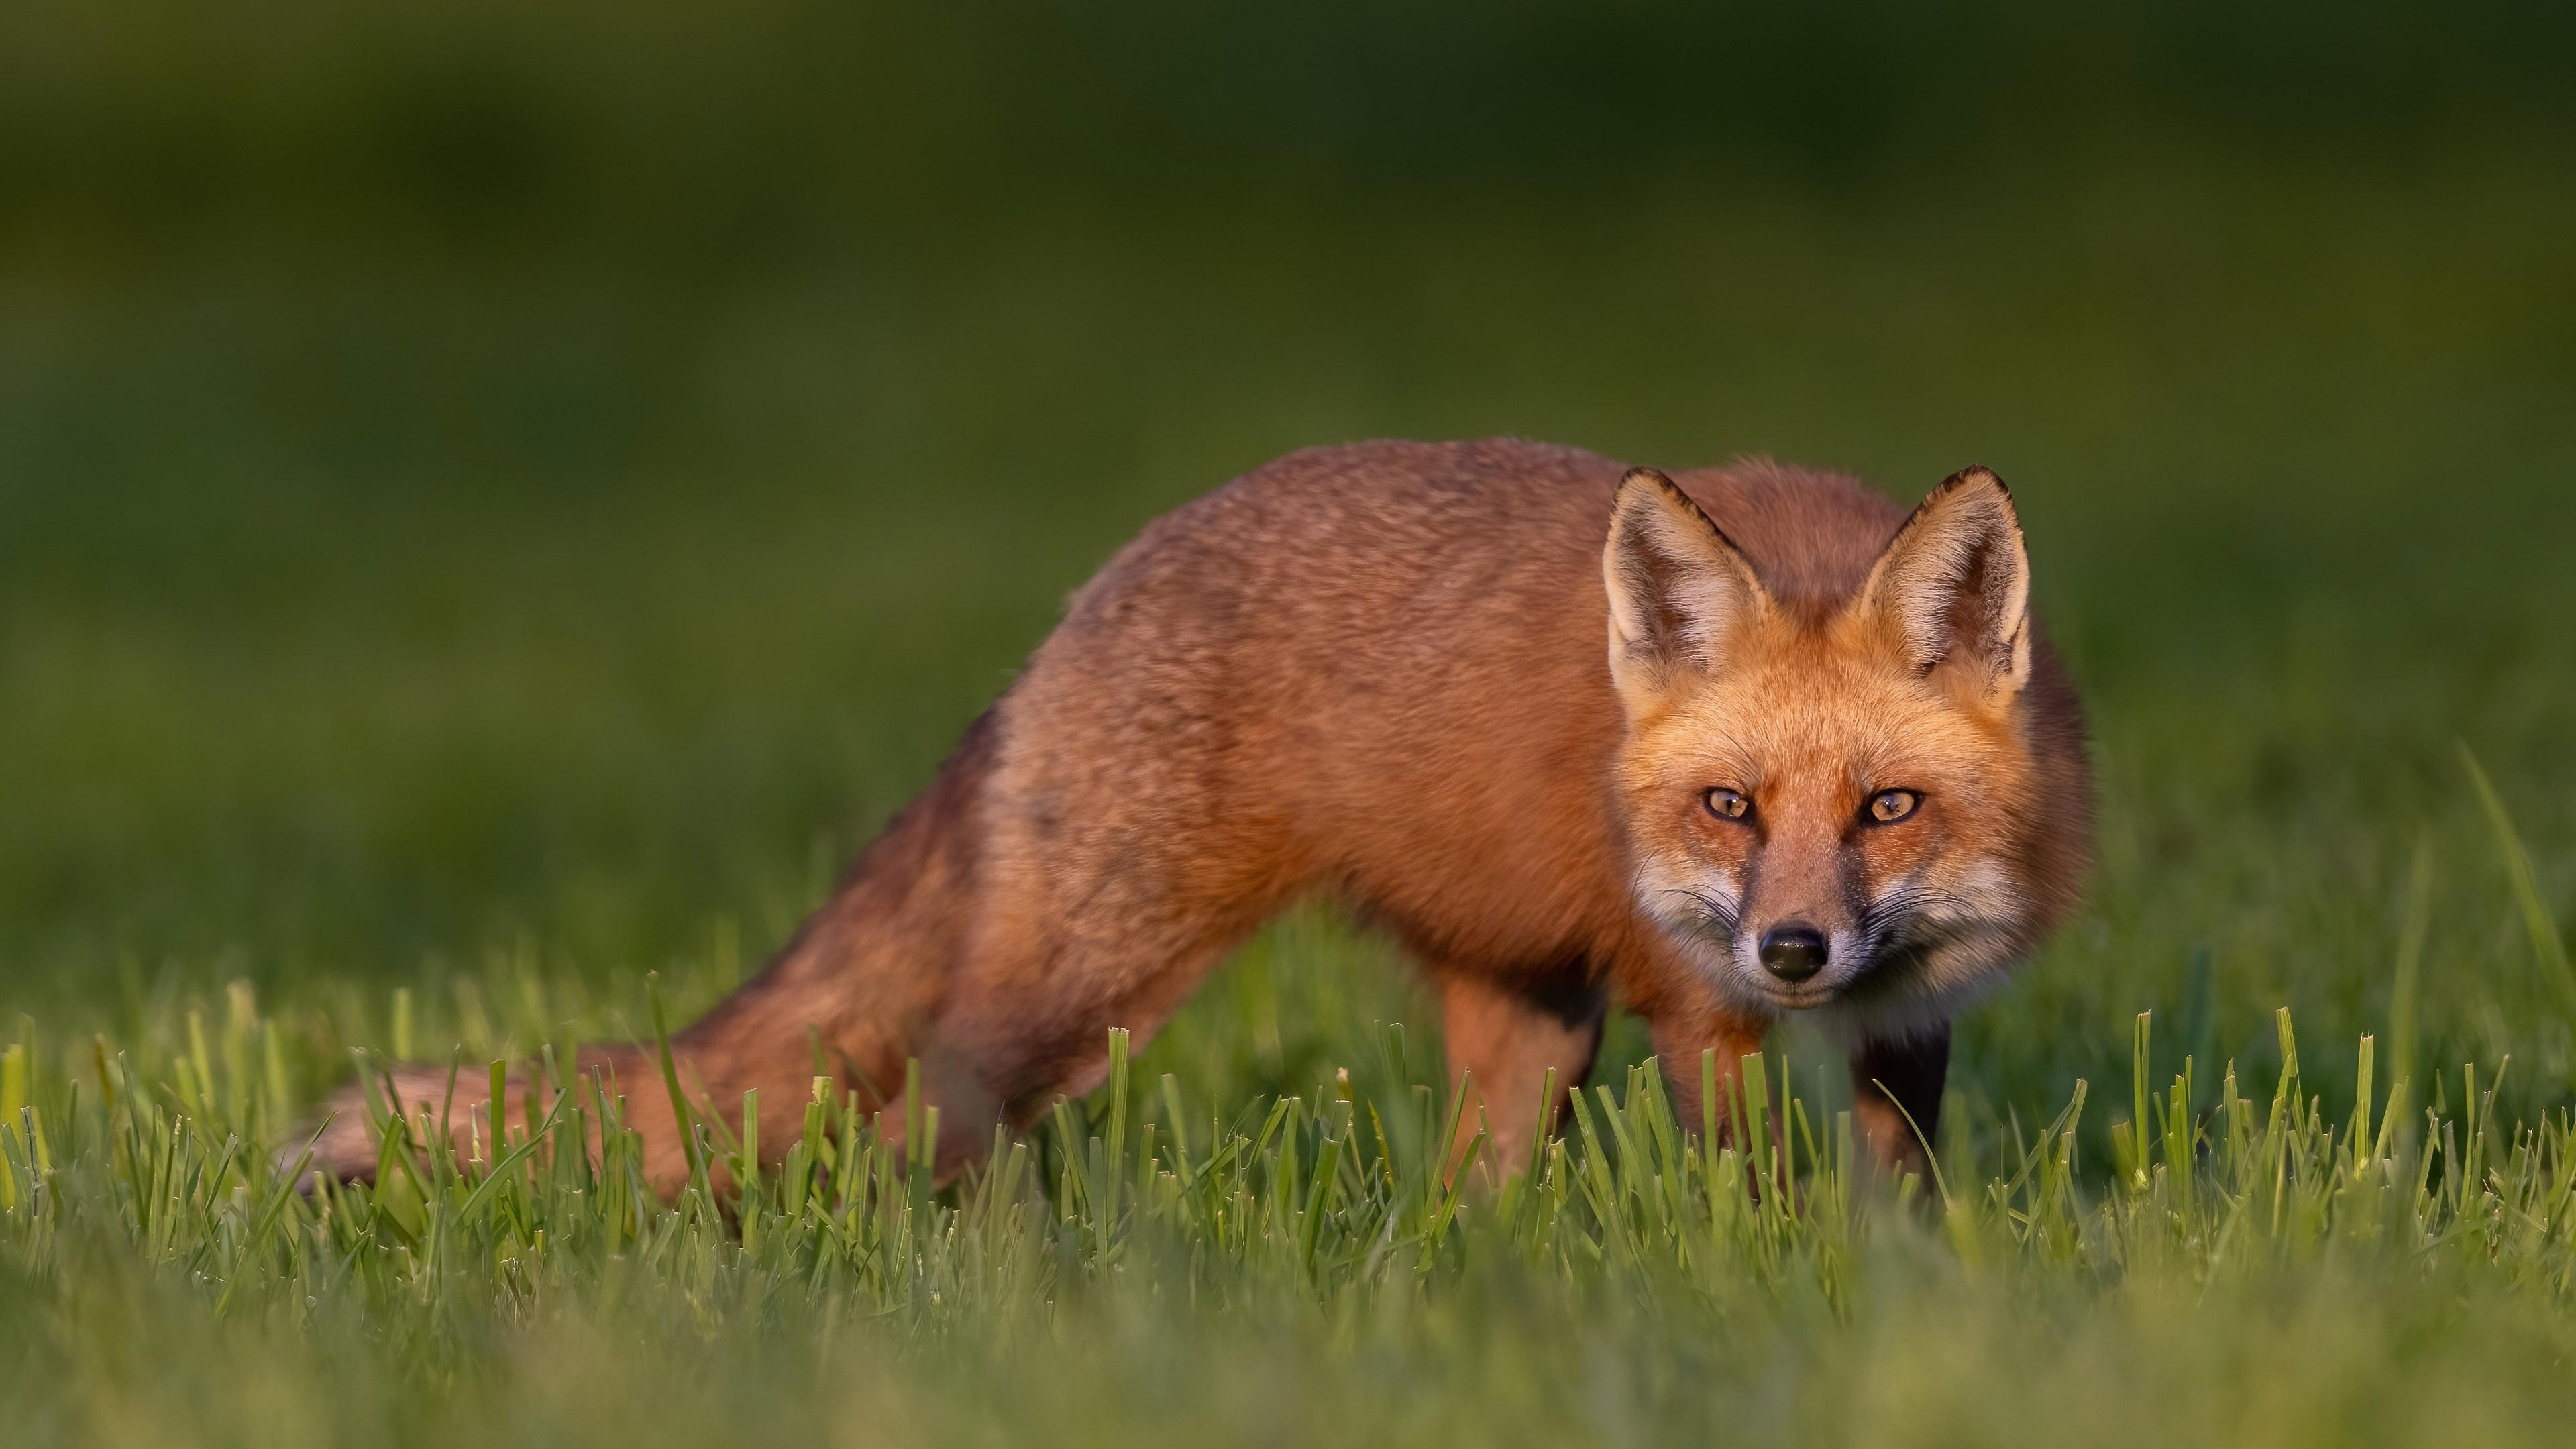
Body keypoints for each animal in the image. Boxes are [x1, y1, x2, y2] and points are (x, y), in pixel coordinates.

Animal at [305, 439, 2091, 1192]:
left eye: (1887, 807)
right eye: (1728, 804)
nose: (1791, 949)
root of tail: (1081, 603)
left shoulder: (1907, 1027)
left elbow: (1905, 1197)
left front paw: (1905, 1294)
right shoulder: (1693, 1013)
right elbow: (1755, 1198)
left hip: (1530, 1024)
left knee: (1466, 1196)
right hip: (1095, 977)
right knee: (919, 1119)